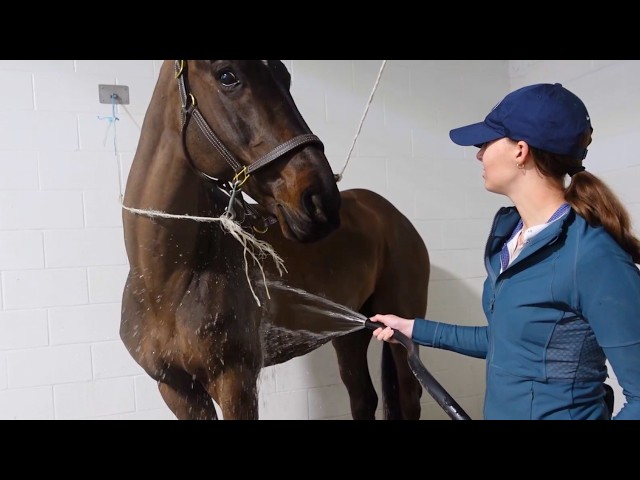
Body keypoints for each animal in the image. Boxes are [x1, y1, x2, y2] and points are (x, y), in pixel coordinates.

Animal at [120, 60, 431, 420]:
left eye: (286, 77)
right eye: (227, 76)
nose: (322, 199)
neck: (167, 280)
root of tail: (391, 214)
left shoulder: (236, 382)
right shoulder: (177, 390)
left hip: (402, 332)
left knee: (409, 397)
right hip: (352, 334)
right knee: (363, 397)